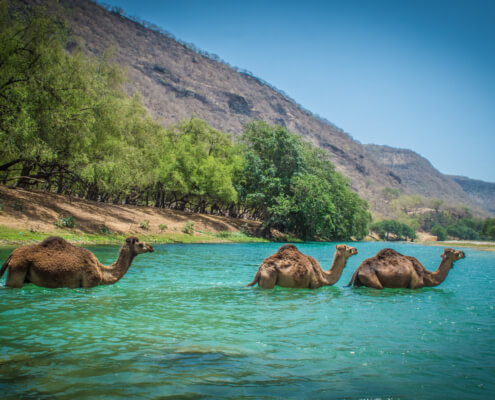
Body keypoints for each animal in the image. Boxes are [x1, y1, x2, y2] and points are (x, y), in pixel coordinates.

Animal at [0, 236, 154, 290]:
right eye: (140, 244)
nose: (151, 247)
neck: (102, 271)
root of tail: (11, 256)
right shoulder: (89, 283)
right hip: (17, 270)